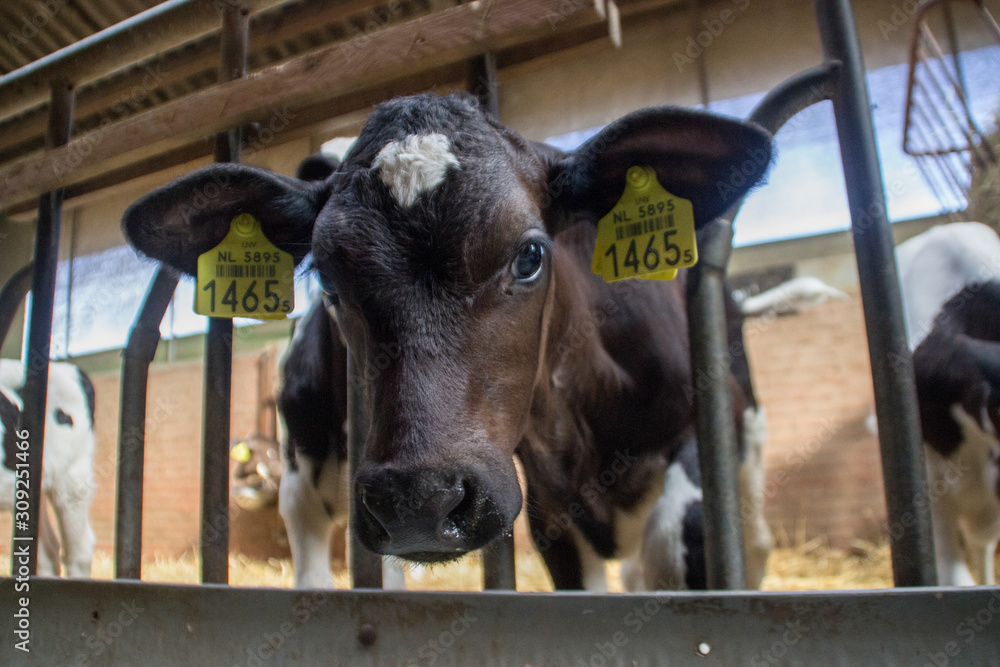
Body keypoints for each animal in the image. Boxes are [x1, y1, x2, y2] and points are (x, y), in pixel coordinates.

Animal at [122, 92, 773, 590]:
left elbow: (679, 540)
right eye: (328, 278)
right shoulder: (547, 507)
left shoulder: (706, 427)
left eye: (530, 255)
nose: (419, 501)